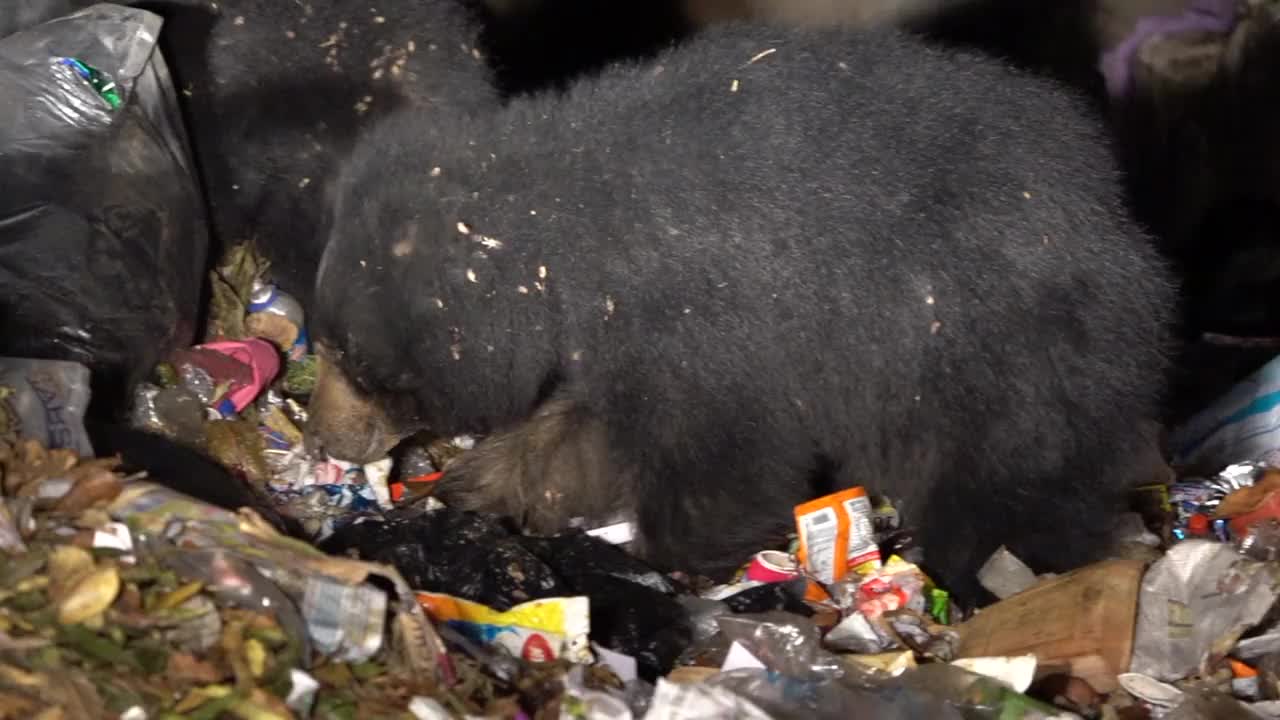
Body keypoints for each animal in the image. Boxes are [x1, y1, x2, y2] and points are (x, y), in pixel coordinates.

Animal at [296, 20, 1172, 599]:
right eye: (332, 346)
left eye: (362, 366)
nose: (323, 439)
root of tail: (1127, 242)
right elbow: (586, 433)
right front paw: (479, 488)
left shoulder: (713, 318)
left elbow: (718, 455)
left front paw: (665, 558)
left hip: (1002, 352)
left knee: (1008, 485)